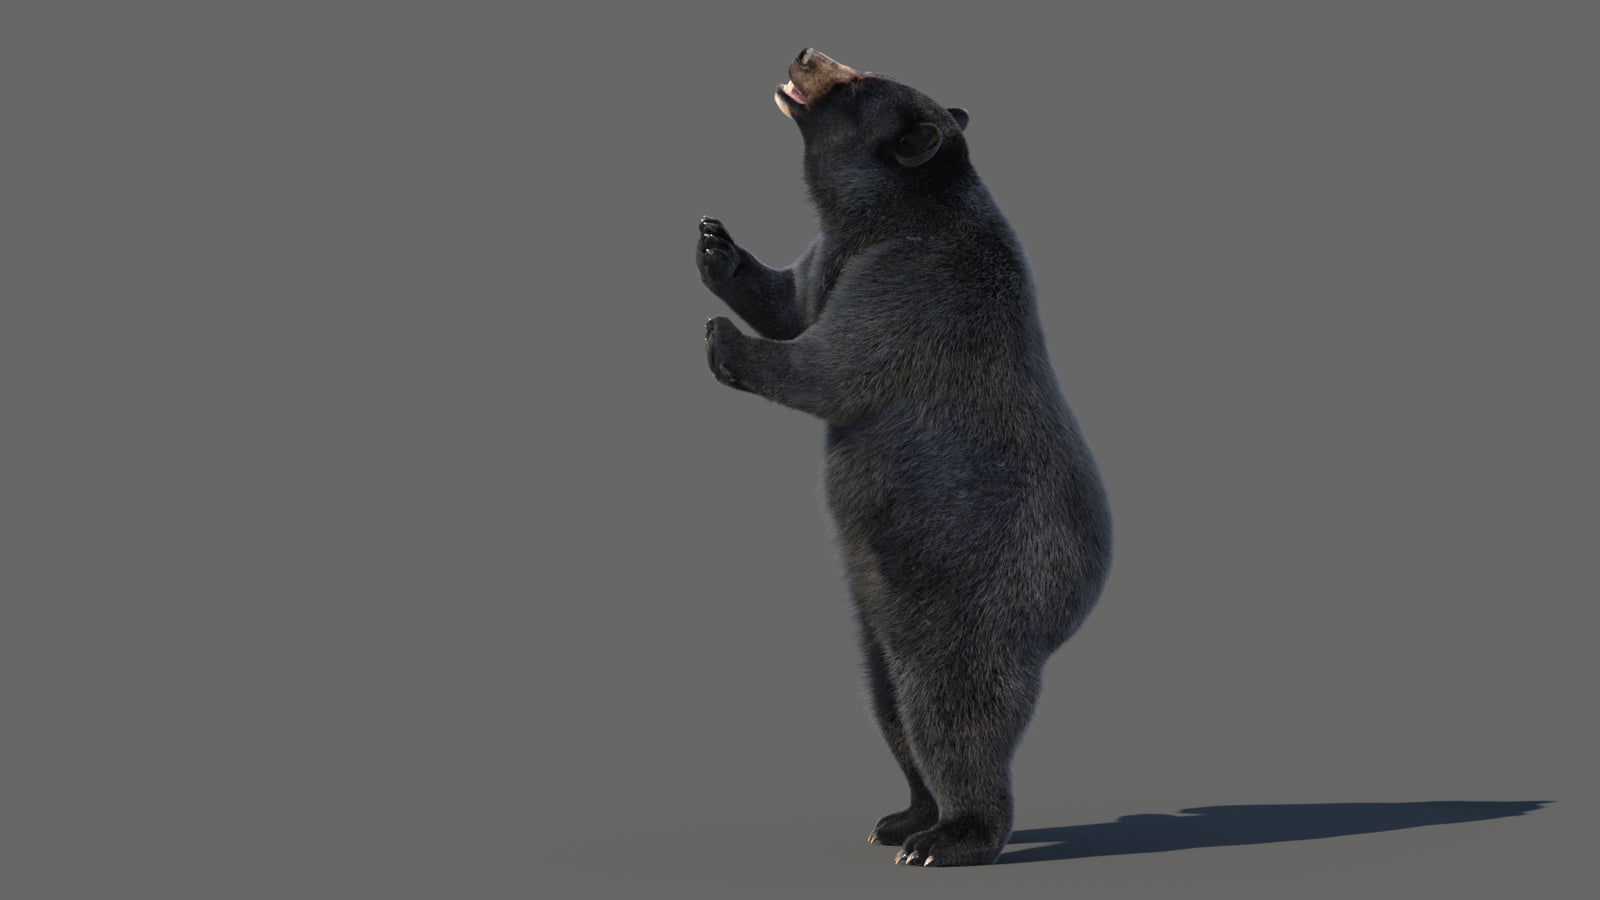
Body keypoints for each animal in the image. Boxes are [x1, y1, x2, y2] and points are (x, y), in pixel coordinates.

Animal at [696, 48, 1112, 868]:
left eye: (855, 81)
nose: (804, 52)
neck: (888, 214)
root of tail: (1079, 602)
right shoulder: (835, 255)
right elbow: (794, 299)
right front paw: (717, 247)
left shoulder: (918, 282)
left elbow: (836, 363)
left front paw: (724, 340)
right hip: (879, 612)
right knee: (888, 703)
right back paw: (903, 816)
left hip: (978, 595)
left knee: (951, 711)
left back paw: (952, 836)